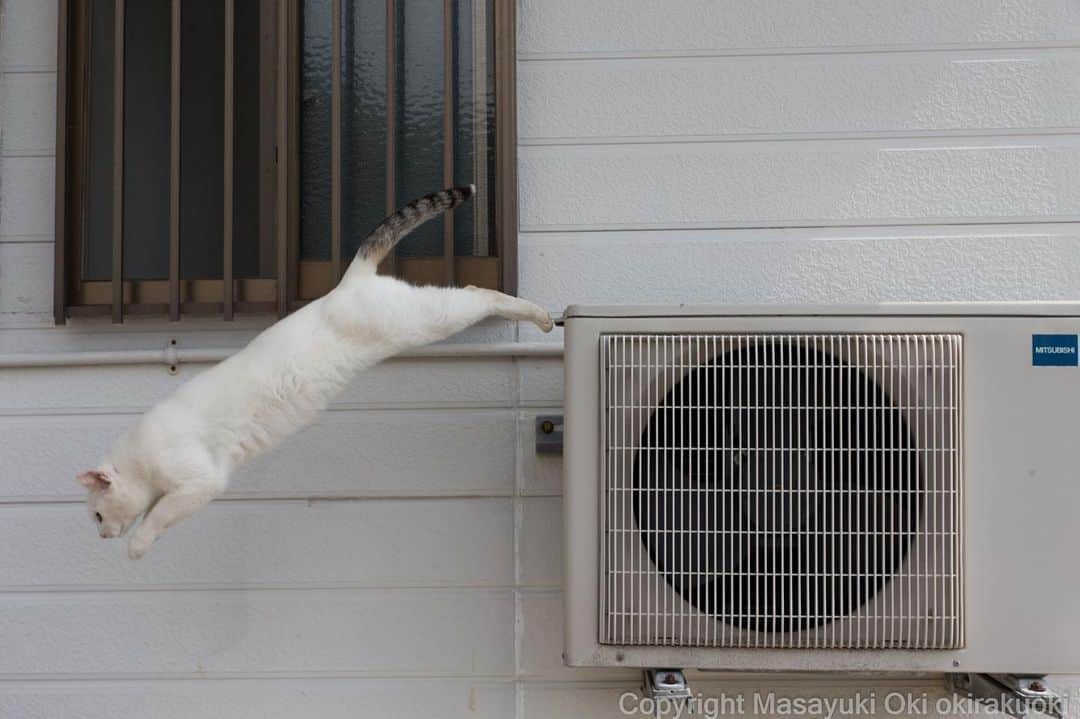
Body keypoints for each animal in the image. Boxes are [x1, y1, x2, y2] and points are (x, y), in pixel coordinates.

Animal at [77, 185, 552, 561]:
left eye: (98, 514)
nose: (101, 536)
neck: (142, 456)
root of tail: (347, 281)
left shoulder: (200, 481)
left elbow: (158, 515)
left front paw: (137, 546)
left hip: (423, 318)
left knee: (476, 292)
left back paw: (541, 317)